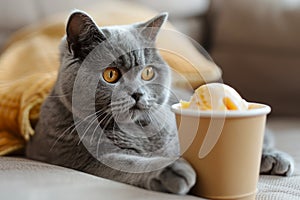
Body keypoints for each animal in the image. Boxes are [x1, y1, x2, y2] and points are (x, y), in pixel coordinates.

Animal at [25, 10, 292, 194]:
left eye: (147, 73)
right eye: (110, 74)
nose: (138, 94)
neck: (138, 132)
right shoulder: (84, 157)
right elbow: (128, 163)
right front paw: (173, 169)